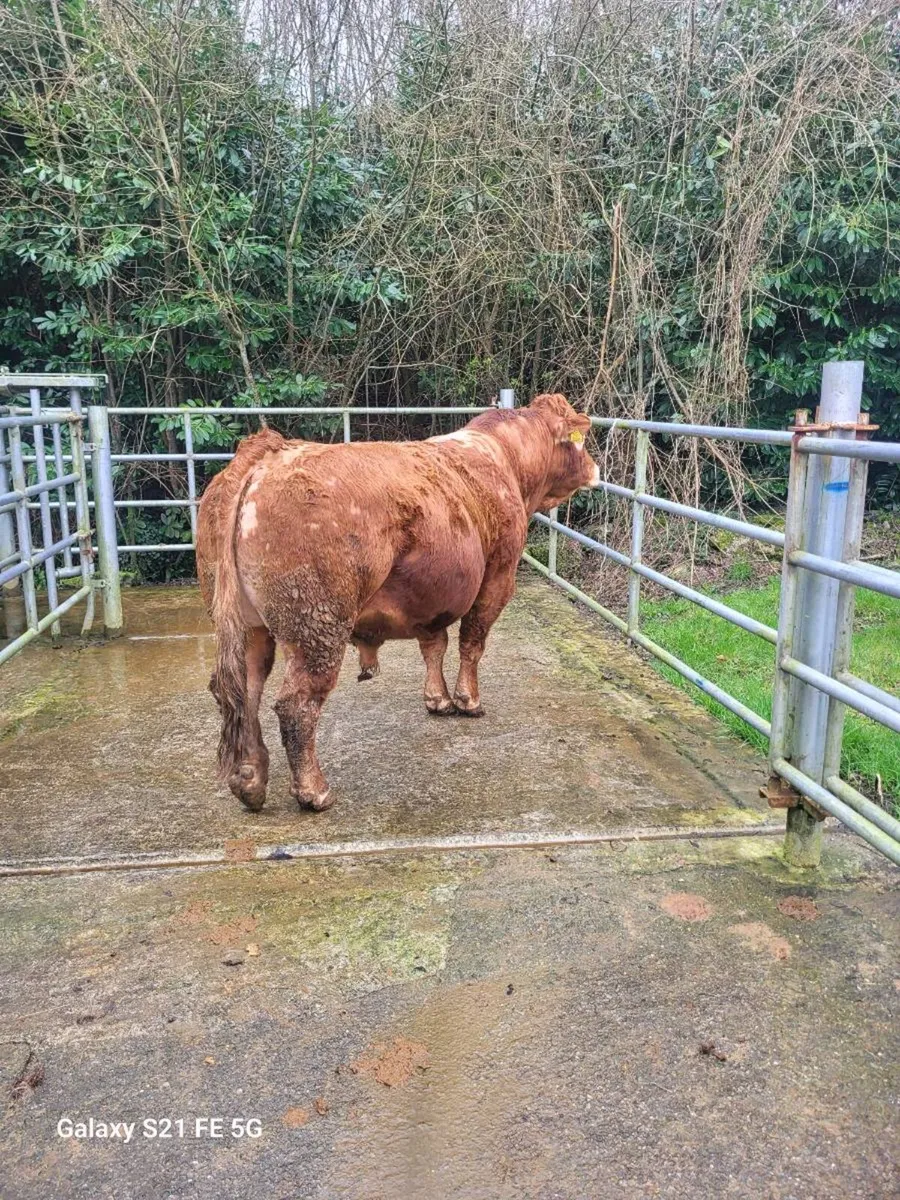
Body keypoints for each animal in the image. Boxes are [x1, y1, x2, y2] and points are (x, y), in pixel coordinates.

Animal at [199, 393, 599, 814]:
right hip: (317, 626)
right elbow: (472, 642)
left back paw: (250, 781)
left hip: (248, 627)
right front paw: (468, 700)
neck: (505, 458)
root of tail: (268, 453)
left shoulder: (431, 596)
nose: (595, 469)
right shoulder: (499, 575)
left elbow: (434, 645)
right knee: (296, 704)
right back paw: (314, 791)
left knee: (243, 692)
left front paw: (438, 700)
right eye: (578, 442)